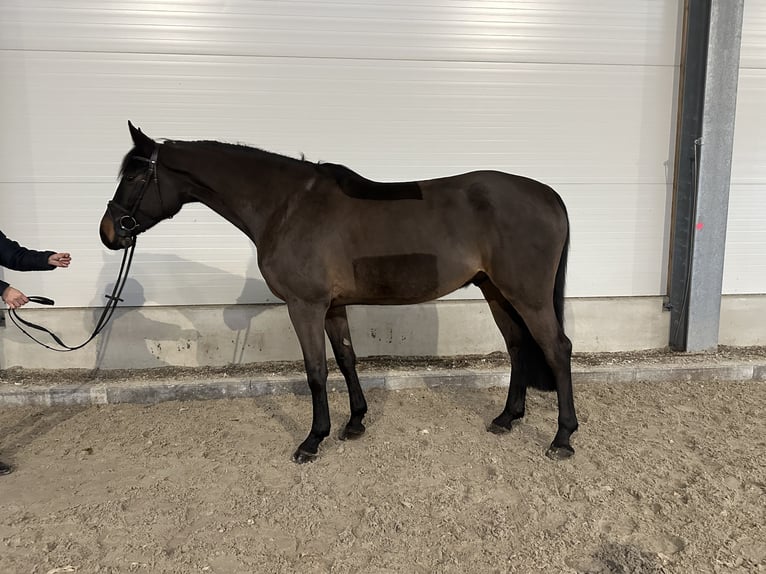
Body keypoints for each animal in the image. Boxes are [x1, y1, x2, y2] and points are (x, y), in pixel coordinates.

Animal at [103, 121, 584, 464]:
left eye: (134, 177)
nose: (109, 232)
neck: (288, 206)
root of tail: (549, 195)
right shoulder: (333, 307)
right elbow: (348, 359)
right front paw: (354, 423)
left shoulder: (305, 306)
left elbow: (316, 371)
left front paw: (312, 440)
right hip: (495, 290)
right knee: (518, 345)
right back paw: (507, 418)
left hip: (527, 295)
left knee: (557, 348)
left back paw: (562, 437)